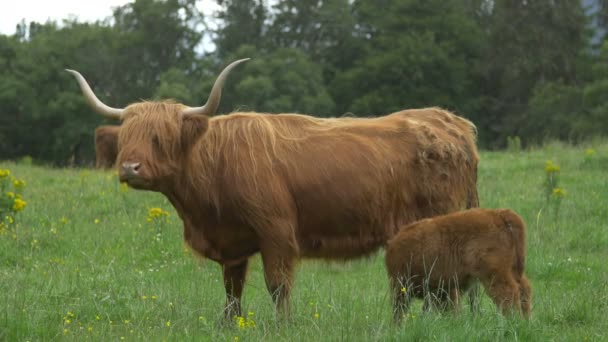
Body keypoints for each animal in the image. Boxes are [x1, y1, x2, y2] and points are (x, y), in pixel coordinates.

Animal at [66, 58, 480, 318]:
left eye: (160, 137)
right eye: (127, 137)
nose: (129, 168)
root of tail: (450, 121)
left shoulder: (277, 233)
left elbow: (278, 287)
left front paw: (283, 326)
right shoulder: (232, 245)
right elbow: (232, 292)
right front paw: (229, 325)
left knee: (449, 289)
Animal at [384, 207, 532, 322]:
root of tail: (499, 215)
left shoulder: (400, 284)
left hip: (495, 275)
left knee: (508, 293)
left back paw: (513, 322)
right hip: (513, 270)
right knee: (524, 289)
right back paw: (526, 321)